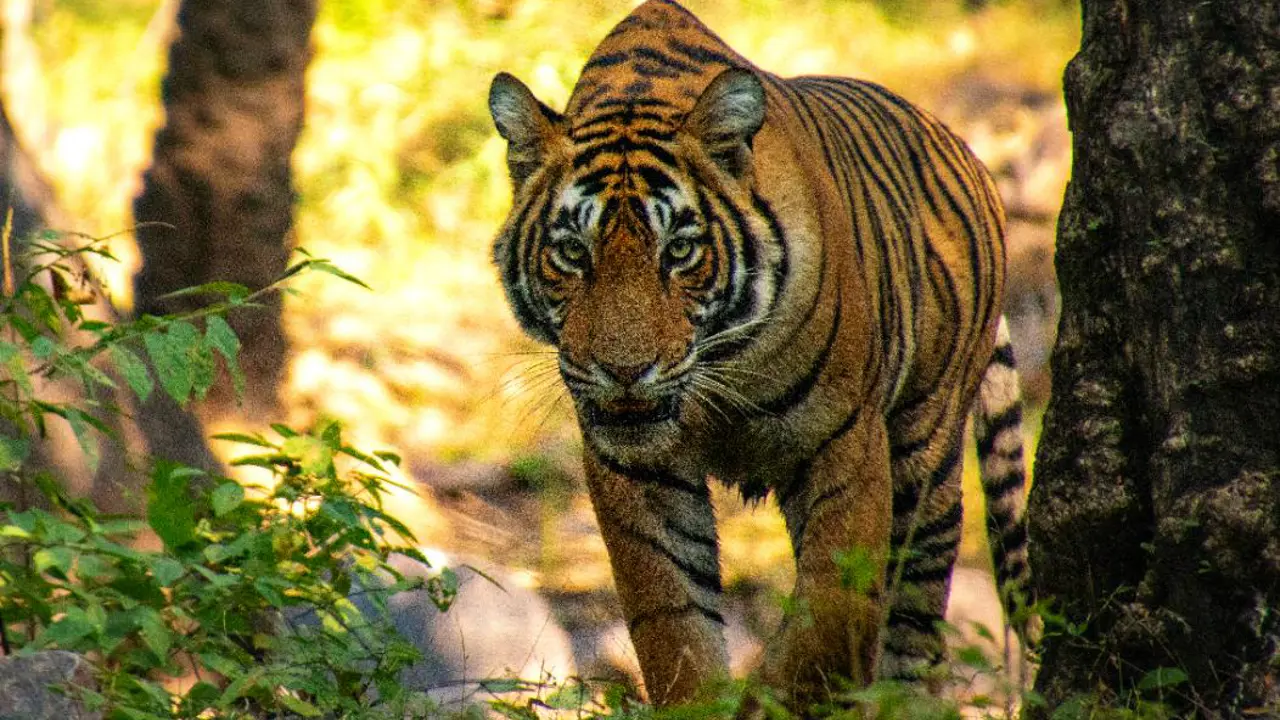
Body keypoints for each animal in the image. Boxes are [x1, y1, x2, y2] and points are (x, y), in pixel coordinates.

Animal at [487, 0, 1031, 712]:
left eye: (680, 251)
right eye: (573, 254)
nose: (625, 372)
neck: (719, 371)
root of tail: (964, 151)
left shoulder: (845, 442)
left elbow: (830, 616)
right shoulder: (634, 468)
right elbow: (674, 625)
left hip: (927, 449)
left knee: (917, 620)